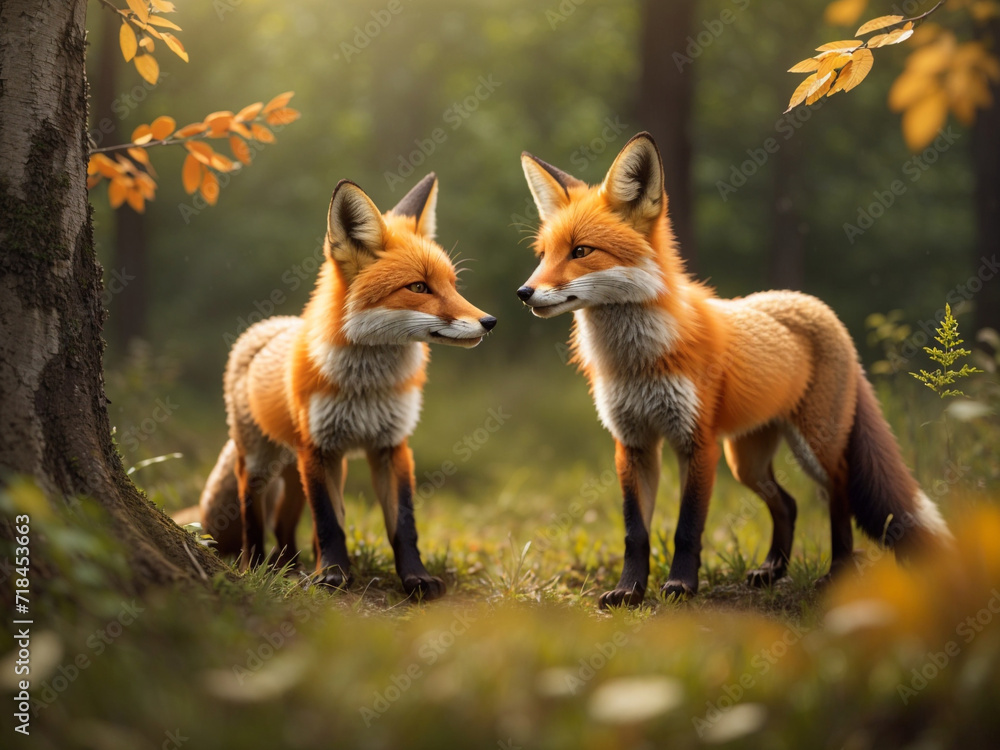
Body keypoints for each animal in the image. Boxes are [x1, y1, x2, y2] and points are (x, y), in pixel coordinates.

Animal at [190, 173, 496, 600]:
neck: (366, 387)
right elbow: (329, 521)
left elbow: (403, 524)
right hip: (261, 463)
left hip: (301, 470)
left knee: (284, 525)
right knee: (254, 517)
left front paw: (415, 579)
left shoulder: (391, 446)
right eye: (419, 288)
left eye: (452, 285)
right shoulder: (320, 448)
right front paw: (333, 576)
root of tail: (269, 325)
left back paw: (292, 568)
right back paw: (256, 567)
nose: (489, 321)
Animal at [516, 132, 952, 608]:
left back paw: (837, 573)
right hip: (746, 460)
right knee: (788, 503)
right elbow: (636, 532)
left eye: (581, 251)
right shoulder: (632, 443)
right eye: (543, 255)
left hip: (814, 447)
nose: (524, 292)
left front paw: (680, 586)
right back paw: (772, 569)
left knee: (838, 495)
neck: (636, 362)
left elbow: (687, 528)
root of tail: (813, 305)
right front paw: (629, 590)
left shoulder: (697, 441)